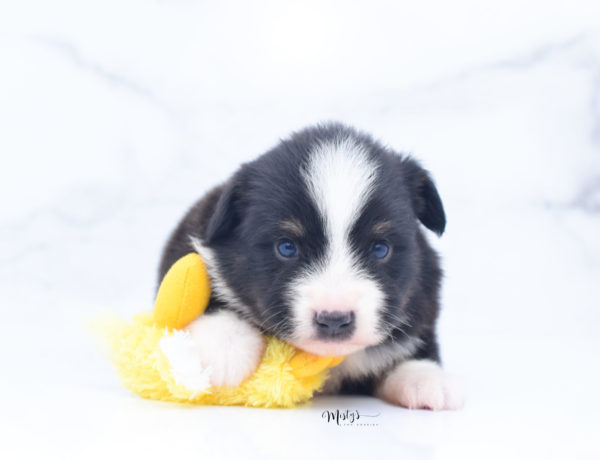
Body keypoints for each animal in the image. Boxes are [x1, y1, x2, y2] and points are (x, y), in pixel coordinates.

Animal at [158, 122, 464, 410]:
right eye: (286, 247)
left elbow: (414, 342)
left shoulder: (424, 293)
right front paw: (224, 345)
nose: (334, 319)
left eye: (380, 249)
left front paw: (424, 376)